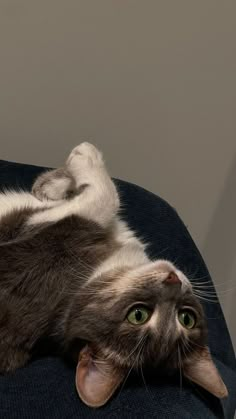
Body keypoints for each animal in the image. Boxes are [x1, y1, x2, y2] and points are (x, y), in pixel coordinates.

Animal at [0, 144, 227, 406]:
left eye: (137, 315)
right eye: (187, 317)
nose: (174, 280)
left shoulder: (48, 243)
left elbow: (106, 197)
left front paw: (84, 155)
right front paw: (50, 186)